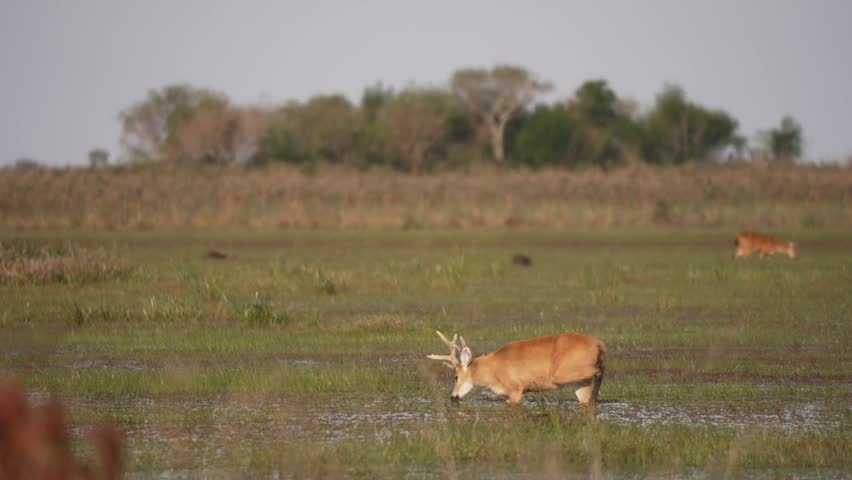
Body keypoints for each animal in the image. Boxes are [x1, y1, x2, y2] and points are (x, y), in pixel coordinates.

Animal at [427, 331, 606, 414]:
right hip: (580, 382)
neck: (492, 369)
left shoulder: (516, 389)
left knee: (599, 370)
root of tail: (599, 344)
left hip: (564, 374)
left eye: (456, 377)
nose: (453, 397)